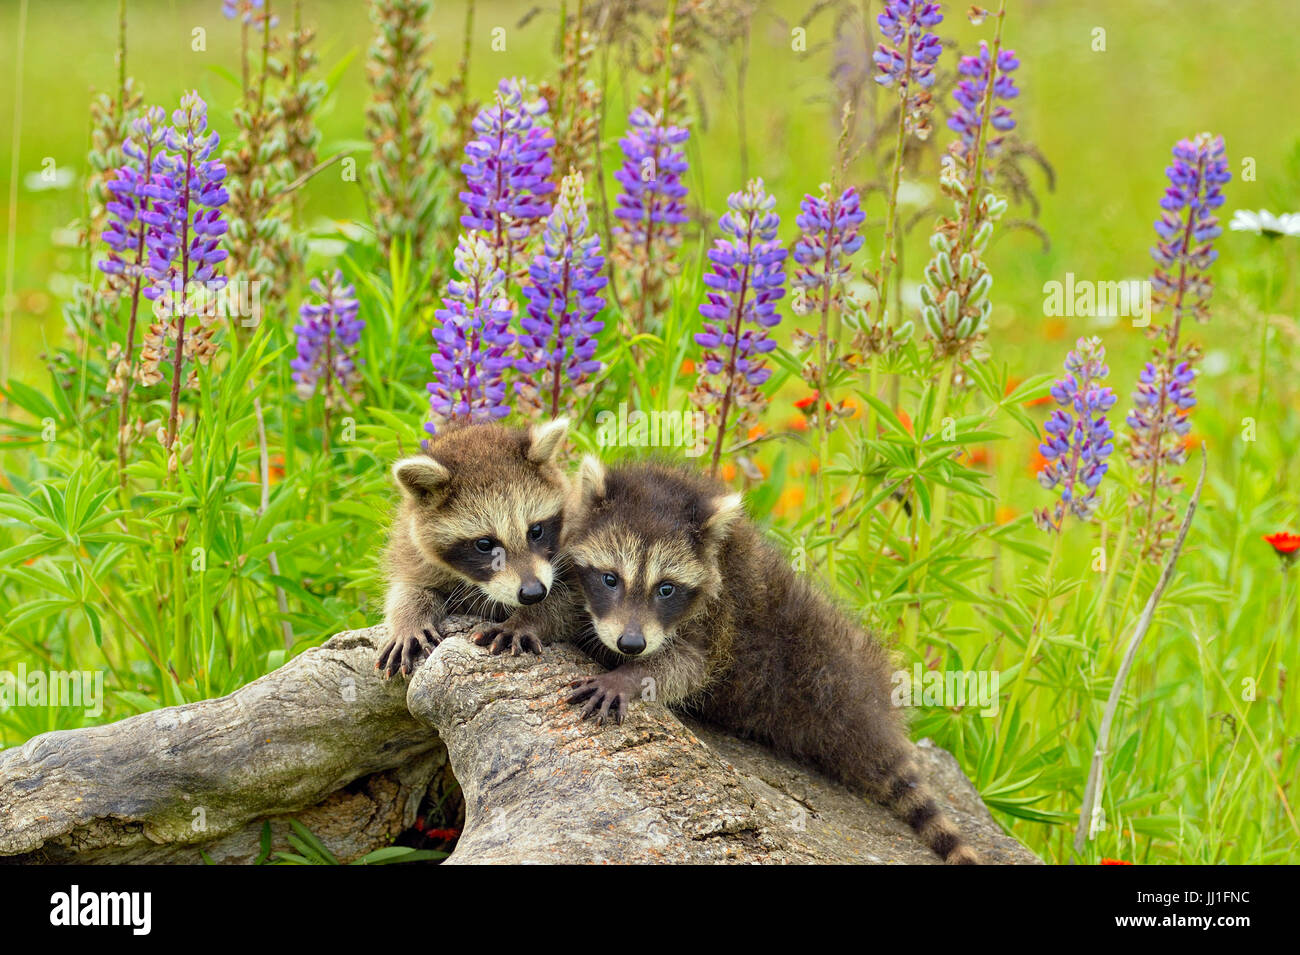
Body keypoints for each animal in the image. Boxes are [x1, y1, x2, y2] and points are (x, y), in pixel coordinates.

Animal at [379, 418, 577, 680]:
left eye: (536, 530)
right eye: (485, 544)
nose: (533, 593)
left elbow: (573, 599)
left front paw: (526, 619)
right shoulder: (410, 545)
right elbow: (409, 584)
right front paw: (409, 619)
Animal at [564, 454, 977, 867]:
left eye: (666, 589)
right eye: (610, 579)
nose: (631, 645)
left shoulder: (719, 620)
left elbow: (687, 667)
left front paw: (629, 677)